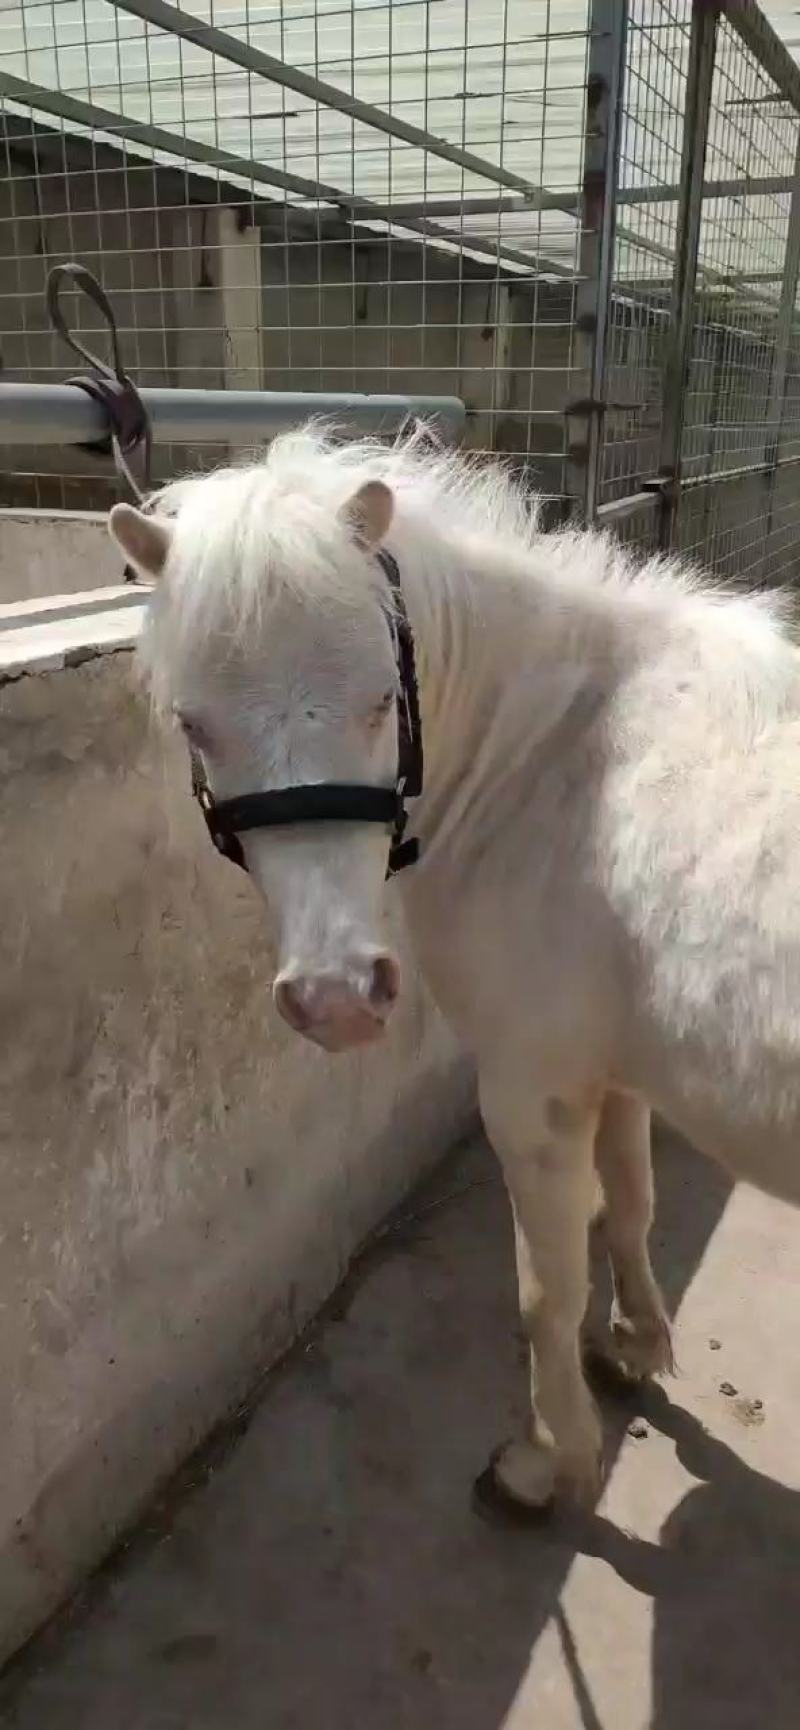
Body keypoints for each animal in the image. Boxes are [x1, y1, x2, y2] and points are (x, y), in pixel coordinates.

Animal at [110, 425, 800, 1513]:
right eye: (192, 723)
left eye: (381, 699)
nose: (338, 999)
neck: (553, 763)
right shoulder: (611, 1069)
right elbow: (631, 1199)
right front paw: (635, 1345)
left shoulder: (529, 1087)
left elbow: (545, 1285)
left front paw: (547, 1460)